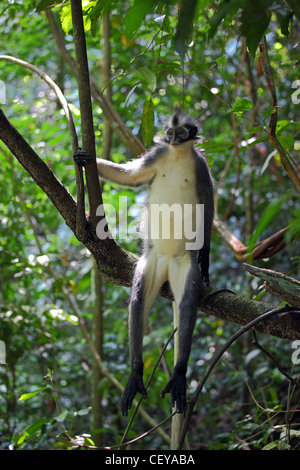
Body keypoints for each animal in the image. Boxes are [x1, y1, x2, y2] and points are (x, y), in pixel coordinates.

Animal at [73, 107, 213, 414]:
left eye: (181, 133)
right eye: (169, 133)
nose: (173, 139)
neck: (177, 155)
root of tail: (169, 264)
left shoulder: (201, 166)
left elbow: (208, 207)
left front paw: (207, 259)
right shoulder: (158, 155)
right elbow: (131, 176)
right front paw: (86, 159)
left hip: (184, 266)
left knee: (187, 302)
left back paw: (179, 373)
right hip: (152, 261)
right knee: (137, 300)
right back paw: (136, 372)